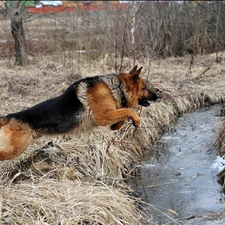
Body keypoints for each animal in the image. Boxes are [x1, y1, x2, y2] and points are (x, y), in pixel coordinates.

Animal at [0, 65, 158, 160]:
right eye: (144, 87)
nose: (158, 96)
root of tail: (10, 117)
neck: (117, 88)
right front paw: (136, 121)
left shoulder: (110, 113)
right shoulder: (103, 116)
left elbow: (124, 114)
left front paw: (116, 126)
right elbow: (129, 110)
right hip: (14, 149)